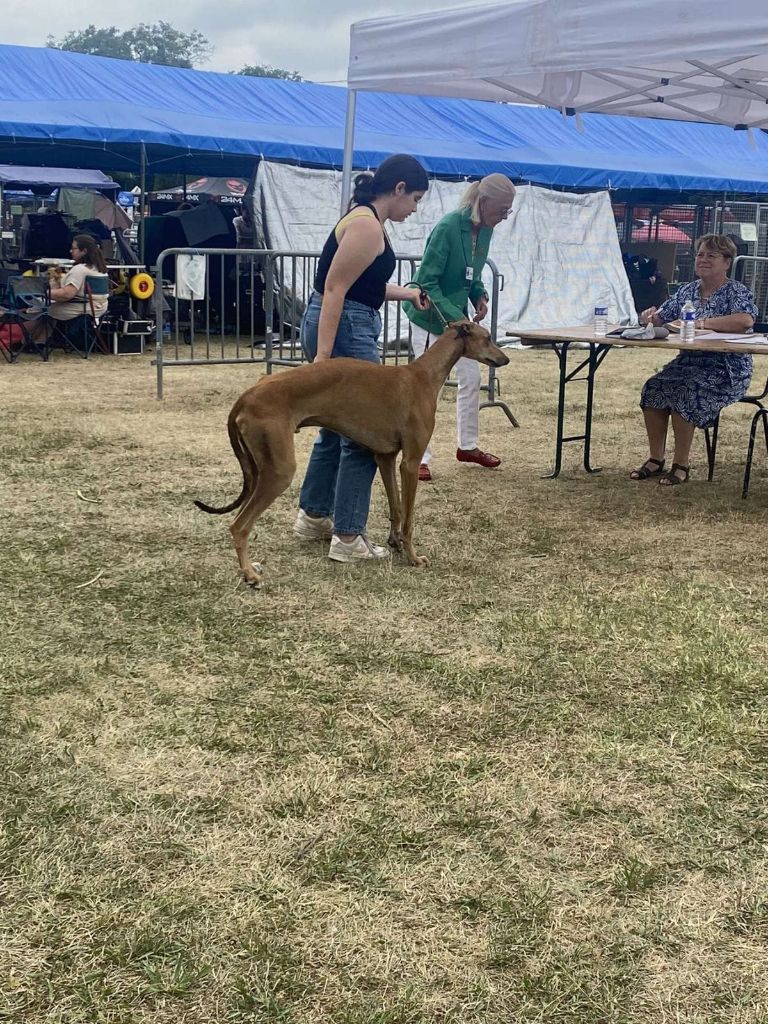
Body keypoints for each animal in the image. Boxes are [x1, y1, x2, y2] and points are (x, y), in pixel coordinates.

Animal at [196, 323, 512, 589]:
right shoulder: (410, 463)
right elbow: (409, 517)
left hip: (257, 469)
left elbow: (396, 508)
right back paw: (250, 574)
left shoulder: (385, 457)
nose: (506, 359)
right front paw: (413, 557)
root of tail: (247, 395)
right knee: (239, 525)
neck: (422, 375)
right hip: (279, 471)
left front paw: (395, 543)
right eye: (487, 338)